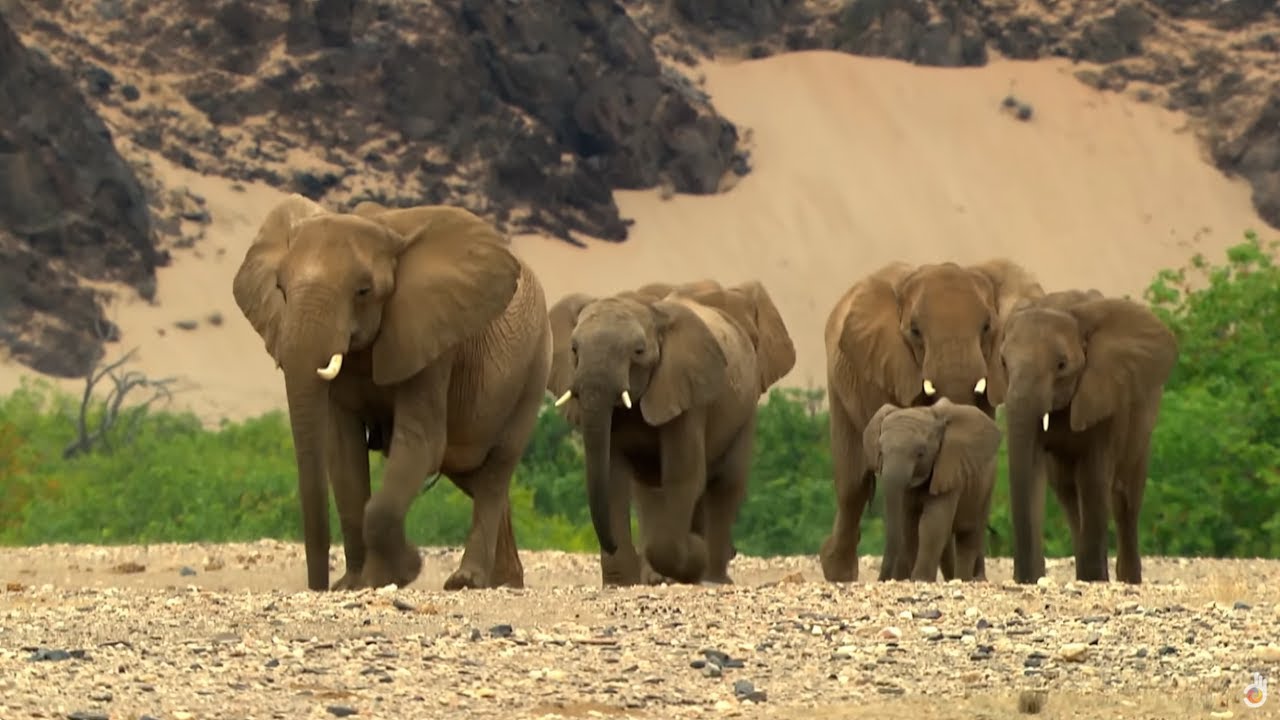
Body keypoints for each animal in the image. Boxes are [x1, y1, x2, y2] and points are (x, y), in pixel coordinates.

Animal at [230, 194, 552, 592]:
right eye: (281, 290)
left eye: (363, 291)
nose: (319, 586)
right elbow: (344, 455)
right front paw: (354, 584)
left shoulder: (431, 340)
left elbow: (420, 444)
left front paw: (402, 571)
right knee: (473, 475)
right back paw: (504, 581)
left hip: (534, 368)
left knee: (496, 470)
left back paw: (468, 581)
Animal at [546, 279, 796, 586]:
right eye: (573, 349)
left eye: (638, 351)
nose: (612, 544)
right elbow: (613, 479)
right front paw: (621, 583)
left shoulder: (688, 394)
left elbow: (682, 476)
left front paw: (694, 554)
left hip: (743, 410)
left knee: (726, 484)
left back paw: (712, 576)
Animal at [863, 398, 1003, 582]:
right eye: (880, 451)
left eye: (921, 453)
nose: (883, 580)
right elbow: (910, 525)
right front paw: (915, 579)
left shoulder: (949, 470)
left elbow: (932, 523)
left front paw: (920, 580)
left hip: (986, 486)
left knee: (970, 534)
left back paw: (965, 580)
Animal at [998, 289, 1177, 585]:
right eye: (1002, 363)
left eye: (1062, 365)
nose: (1022, 578)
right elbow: (1033, 472)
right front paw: (1033, 580)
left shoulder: (1106, 396)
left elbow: (1094, 477)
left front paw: (1095, 580)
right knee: (1068, 495)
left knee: (1125, 499)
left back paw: (1124, 580)